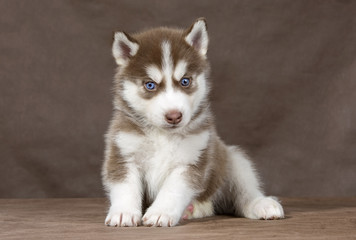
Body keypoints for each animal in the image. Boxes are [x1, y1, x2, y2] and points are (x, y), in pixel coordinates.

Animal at [102, 17, 284, 227]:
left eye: (185, 81)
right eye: (150, 85)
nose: (174, 116)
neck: (163, 135)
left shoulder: (192, 160)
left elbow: (173, 189)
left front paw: (160, 212)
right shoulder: (123, 153)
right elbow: (125, 187)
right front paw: (123, 212)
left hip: (234, 160)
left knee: (243, 193)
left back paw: (261, 204)